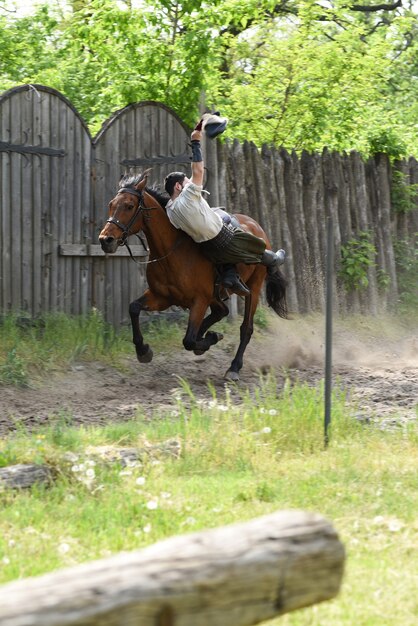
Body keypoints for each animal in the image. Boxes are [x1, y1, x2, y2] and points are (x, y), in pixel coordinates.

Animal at [99, 168, 288, 378]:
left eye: (129, 206)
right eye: (111, 205)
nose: (105, 240)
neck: (170, 252)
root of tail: (258, 228)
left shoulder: (199, 301)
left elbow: (188, 340)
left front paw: (210, 339)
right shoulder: (162, 297)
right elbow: (133, 308)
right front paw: (143, 350)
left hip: (253, 288)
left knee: (246, 327)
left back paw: (233, 367)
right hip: (216, 295)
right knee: (222, 311)